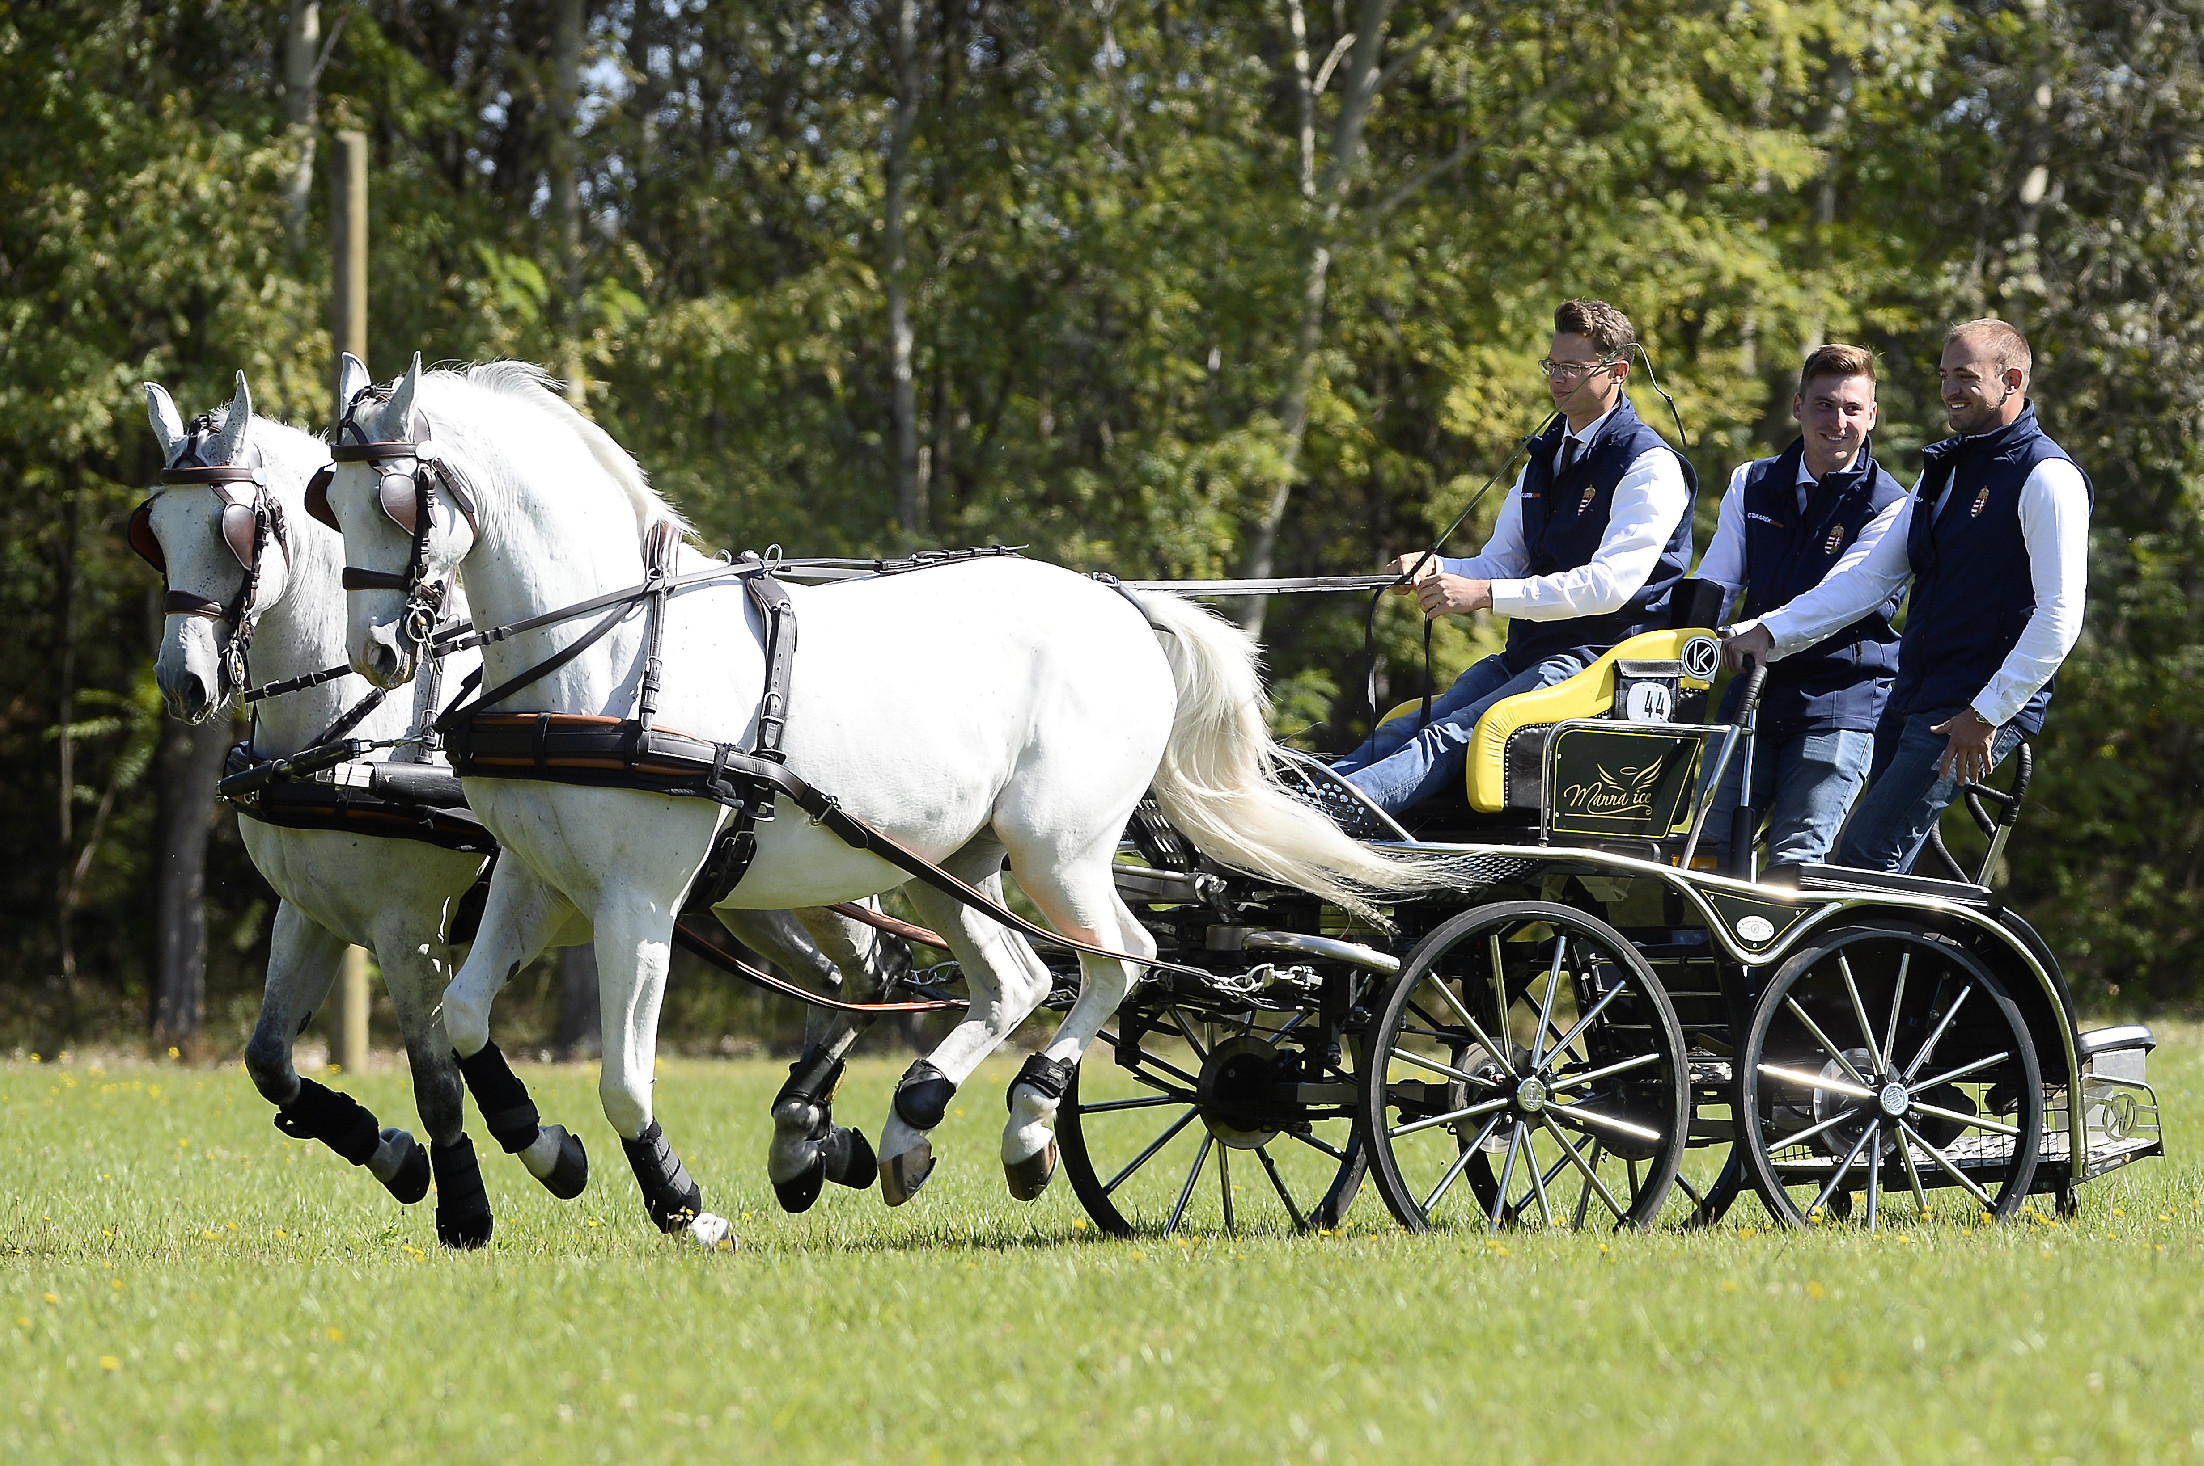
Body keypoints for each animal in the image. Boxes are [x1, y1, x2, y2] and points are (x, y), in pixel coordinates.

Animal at [319, 354, 1437, 1234]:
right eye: (326, 499)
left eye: (395, 502)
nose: (376, 653)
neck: (610, 654)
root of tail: (1122, 602)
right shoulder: (533, 880)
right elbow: (468, 1020)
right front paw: (546, 1147)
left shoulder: (640, 902)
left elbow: (623, 1077)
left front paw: (680, 1202)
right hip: (946, 867)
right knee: (1017, 979)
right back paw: (915, 1119)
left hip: (1058, 849)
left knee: (1121, 958)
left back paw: (1028, 1120)